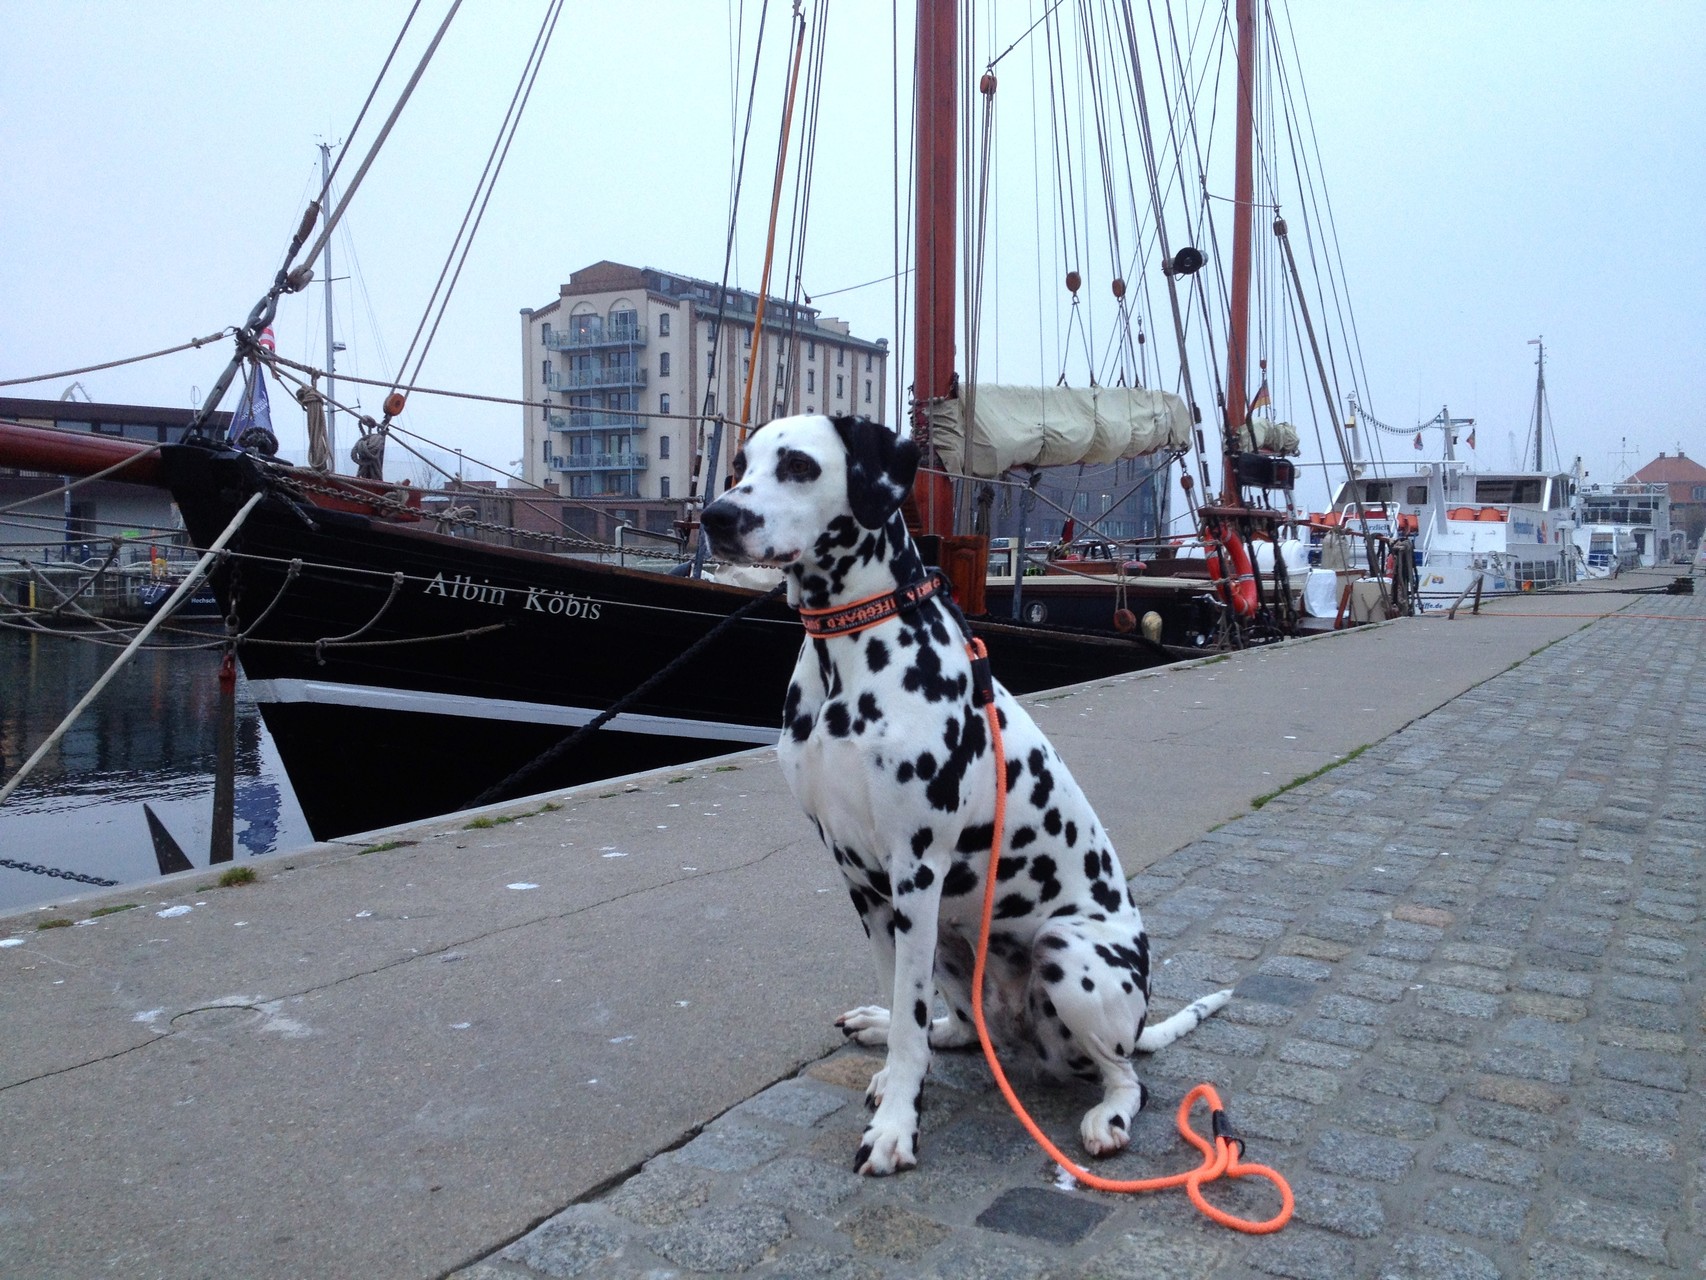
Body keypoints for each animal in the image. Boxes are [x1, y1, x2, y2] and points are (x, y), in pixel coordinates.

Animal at [696, 416, 1228, 1181]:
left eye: (798, 465)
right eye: (740, 465)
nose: (715, 517)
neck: (850, 650)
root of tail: (1136, 1026)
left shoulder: (916, 870)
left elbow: (909, 1027)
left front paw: (896, 1127)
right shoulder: (864, 882)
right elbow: (904, 1007)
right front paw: (894, 1058)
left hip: (1069, 950)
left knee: (1128, 1077)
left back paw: (1109, 1117)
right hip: (954, 945)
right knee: (957, 1027)